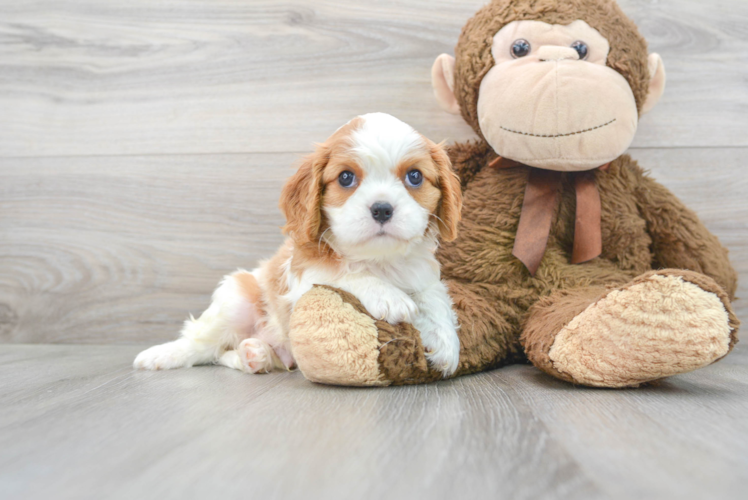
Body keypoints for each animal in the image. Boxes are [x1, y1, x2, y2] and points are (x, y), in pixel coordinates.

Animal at [134, 113, 462, 376]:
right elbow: (345, 273)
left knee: (231, 353)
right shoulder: (303, 277)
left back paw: (255, 354)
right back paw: (163, 354)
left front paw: (445, 342)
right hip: (236, 298)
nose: (382, 209)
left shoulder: (423, 273)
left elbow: (435, 297)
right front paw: (389, 297)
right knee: (203, 345)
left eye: (415, 176)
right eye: (346, 178)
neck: (379, 260)